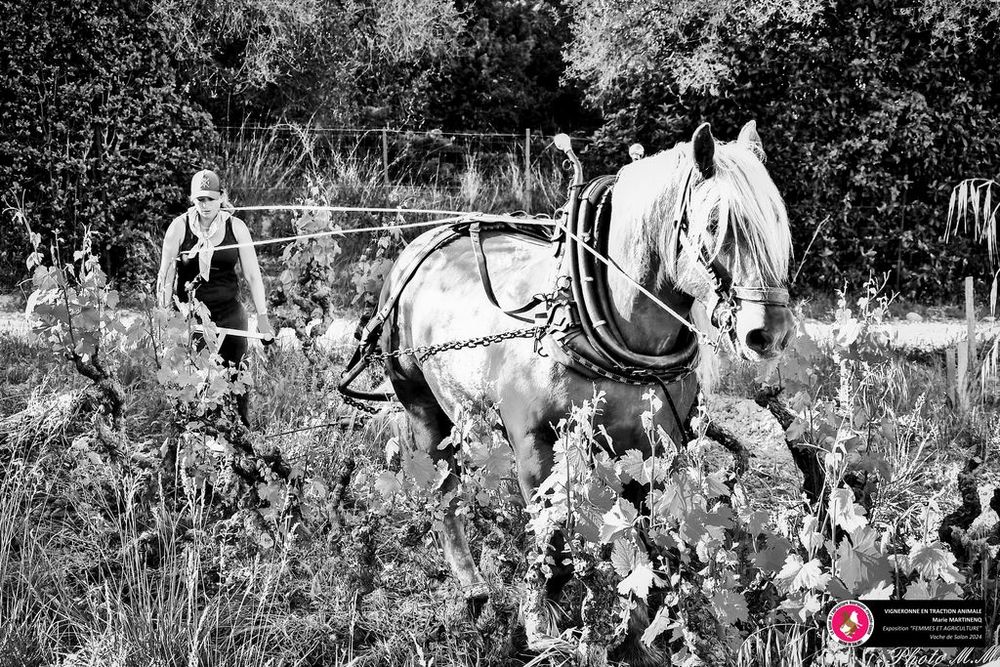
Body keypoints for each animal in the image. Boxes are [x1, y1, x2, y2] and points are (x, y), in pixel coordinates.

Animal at [378, 121, 792, 664]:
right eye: (713, 225)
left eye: (777, 226)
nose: (770, 335)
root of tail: (421, 241)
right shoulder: (537, 448)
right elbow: (551, 540)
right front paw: (542, 624)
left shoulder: (649, 447)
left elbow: (637, 533)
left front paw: (639, 628)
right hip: (422, 405)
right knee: (444, 491)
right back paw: (471, 588)